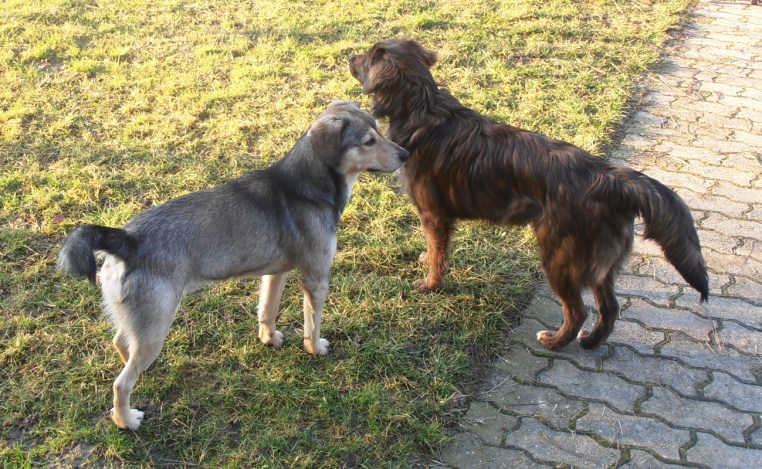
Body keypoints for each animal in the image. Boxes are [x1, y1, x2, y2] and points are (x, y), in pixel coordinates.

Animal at [56, 100, 409, 430]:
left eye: (379, 131)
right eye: (368, 142)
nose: (406, 154)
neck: (304, 187)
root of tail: (128, 239)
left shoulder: (275, 273)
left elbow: (267, 310)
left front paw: (270, 339)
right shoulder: (316, 278)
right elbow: (313, 323)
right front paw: (315, 348)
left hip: (143, 323)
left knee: (122, 342)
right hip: (156, 323)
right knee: (121, 383)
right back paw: (126, 420)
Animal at [350, 39, 708, 351]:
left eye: (368, 57)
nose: (349, 56)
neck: (421, 107)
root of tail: (611, 179)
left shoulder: (434, 214)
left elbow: (439, 255)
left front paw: (430, 284)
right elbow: (434, 249)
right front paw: (426, 259)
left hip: (559, 257)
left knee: (578, 311)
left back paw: (555, 341)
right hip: (599, 263)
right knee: (609, 309)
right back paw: (591, 342)